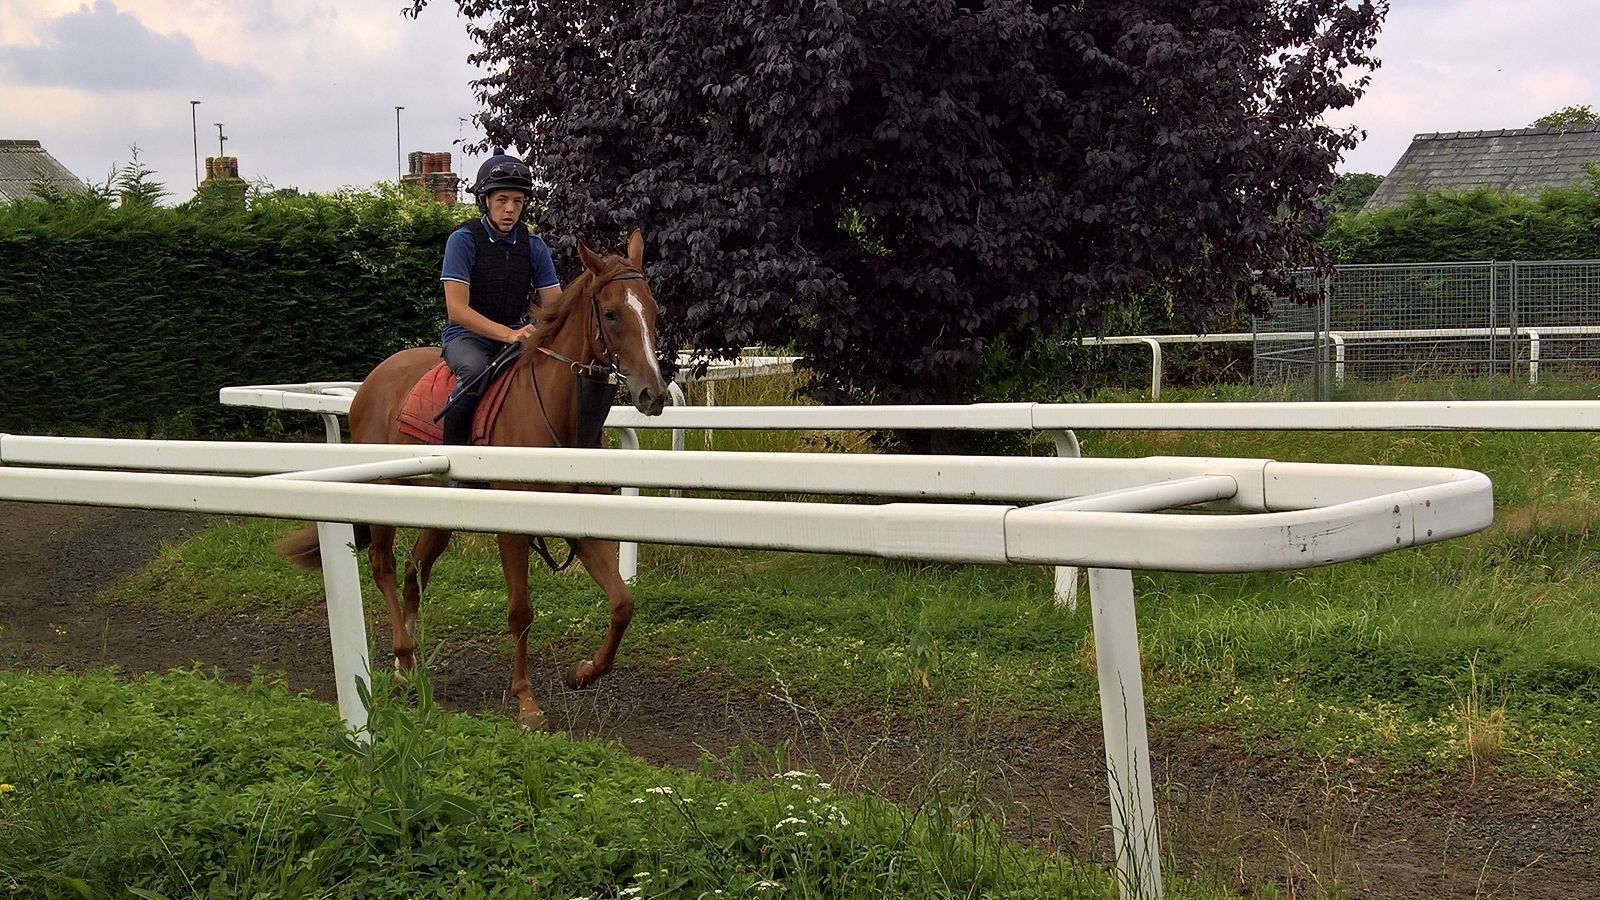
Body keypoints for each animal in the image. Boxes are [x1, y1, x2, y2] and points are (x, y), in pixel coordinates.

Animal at [276, 228, 669, 730]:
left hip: (439, 515)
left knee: (414, 573)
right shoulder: (513, 529)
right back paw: (400, 660)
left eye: (654, 310)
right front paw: (526, 701)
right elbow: (521, 612)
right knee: (385, 566)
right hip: (383, 498)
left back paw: (409, 663)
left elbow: (623, 603)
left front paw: (583, 672)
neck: (557, 417)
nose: (653, 394)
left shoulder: (578, 522)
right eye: (613, 313)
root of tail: (373, 380)